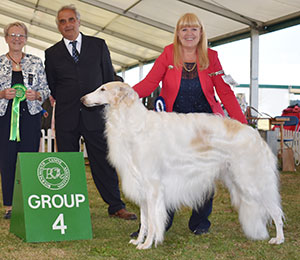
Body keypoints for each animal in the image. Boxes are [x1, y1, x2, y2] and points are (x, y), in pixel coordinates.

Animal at [81, 82, 284, 250]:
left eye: (102, 89)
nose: (82, 99)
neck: (133, 123)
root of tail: (255, 134)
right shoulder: (142, 188)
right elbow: (145, 221)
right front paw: (139, 240)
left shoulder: (153, 187)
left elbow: (153, 221)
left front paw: (147, 244)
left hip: (252, 182)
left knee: (276, 211)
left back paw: (279, 239)